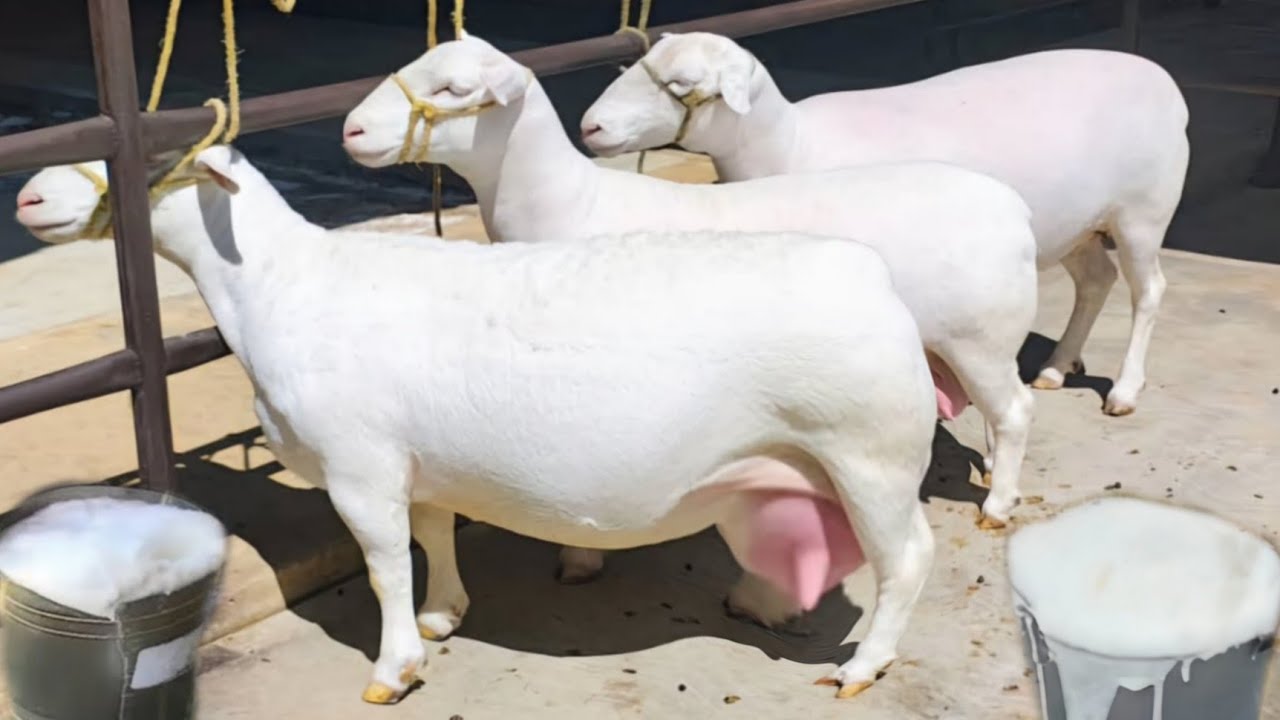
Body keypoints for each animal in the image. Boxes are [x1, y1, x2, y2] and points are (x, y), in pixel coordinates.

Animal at [17, 145, 939, 703]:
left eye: (149, 163)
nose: (29, 190)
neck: (283, 283)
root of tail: (864, 271)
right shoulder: (414, 461)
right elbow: (432, 535)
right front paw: (442, 616)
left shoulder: (361, 466)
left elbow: (384, 563)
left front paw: (394, 668)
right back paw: (781, 608)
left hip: (870, 450)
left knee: (906, 558)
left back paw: (862, 666)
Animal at [341, 34, 1040, 552]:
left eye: (454, 90)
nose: (351, 131)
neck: (571, 200)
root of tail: (1011, 208)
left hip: (980, 336)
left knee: (1014, 412)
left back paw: (999, 503)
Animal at [581, 32, 1192, 417]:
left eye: (682, 83)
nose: (590, 127)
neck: (791, 143)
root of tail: (1166, 82)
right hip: (1077, 221)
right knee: (1095, 281)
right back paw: (1057, 367)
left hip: (1143, 208)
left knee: (1149, 290)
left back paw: (1125, 390)